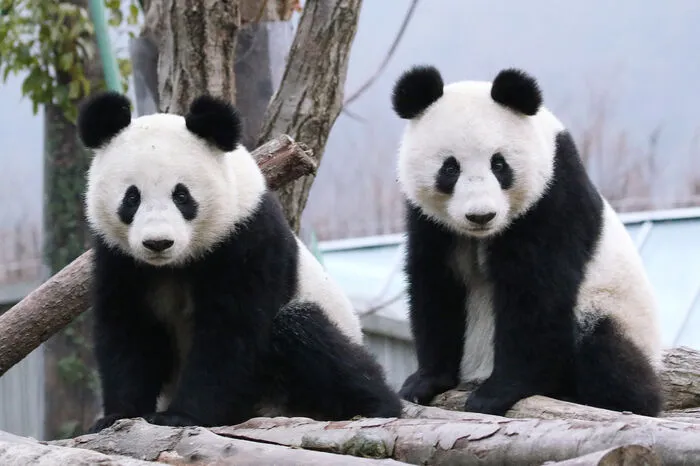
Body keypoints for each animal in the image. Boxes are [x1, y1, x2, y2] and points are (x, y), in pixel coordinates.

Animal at [77, 91, 402, 433]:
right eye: (131, 198)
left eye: (181, 196)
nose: (158, 242)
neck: (174, 263)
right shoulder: (120, 259)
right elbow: (129, 331)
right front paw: (118, 415)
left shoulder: (246, 239)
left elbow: (232, 331)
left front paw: (180, 415)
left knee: (306, 331)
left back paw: (375, 405)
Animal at [391, 65, 663, 417]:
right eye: (450, 168)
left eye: (499, 164)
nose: (481, 215)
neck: (483, 235)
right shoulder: (430, 224)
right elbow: (435, 286)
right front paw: (424, 382)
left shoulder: (552, 201)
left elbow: (534, 293)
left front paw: (496, 393)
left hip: (615, 310)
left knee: (607, 352)